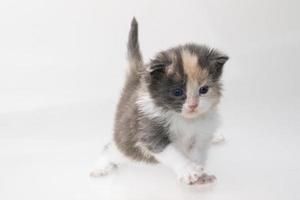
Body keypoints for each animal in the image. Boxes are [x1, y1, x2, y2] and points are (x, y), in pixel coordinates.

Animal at [90, 18, 229, 185]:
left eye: (204, 90)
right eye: (177, 92)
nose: (193, 105)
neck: (185, 120)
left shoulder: (201, 136)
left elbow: (198, 155)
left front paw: (201, 174)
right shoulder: (148, 130)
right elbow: (172, 154)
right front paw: (188, 170)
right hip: (125, 147)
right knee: (110, 149)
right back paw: (100, 167)